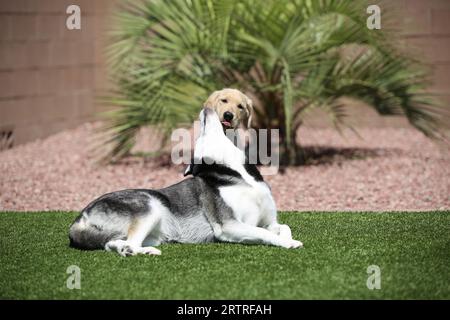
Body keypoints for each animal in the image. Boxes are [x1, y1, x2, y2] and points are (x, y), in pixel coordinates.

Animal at [69, 109, 302, 256]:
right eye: (200, 134)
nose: (205, 109)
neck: (237, 173)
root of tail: (79, 219)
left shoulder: (269, 220)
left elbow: (284, 226)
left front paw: (288, 237)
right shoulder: (229, 225)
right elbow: (264, 233)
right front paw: (288, 243)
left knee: (114, 244)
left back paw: (131, 250)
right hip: (150, 205)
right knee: (129, 241)